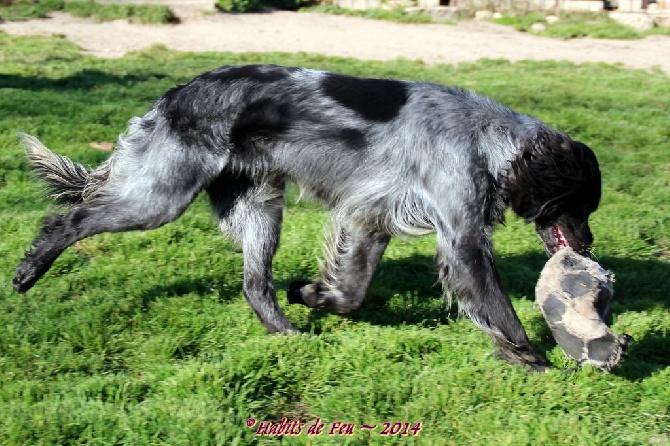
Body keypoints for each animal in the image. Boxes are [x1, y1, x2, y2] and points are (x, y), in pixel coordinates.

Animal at [11, 62, 604, 370]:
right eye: (581, 205)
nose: (589, 246)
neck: (486, 139)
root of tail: (171, 97)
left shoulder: (371, 220)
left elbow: (352, 291)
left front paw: (313, 294)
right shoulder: (461, 241)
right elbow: (500, 310)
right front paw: (536, 360)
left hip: (260, 209)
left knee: (255, 285)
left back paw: (287, 332)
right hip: (159, 198)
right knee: (69, 220)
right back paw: (28, 271)